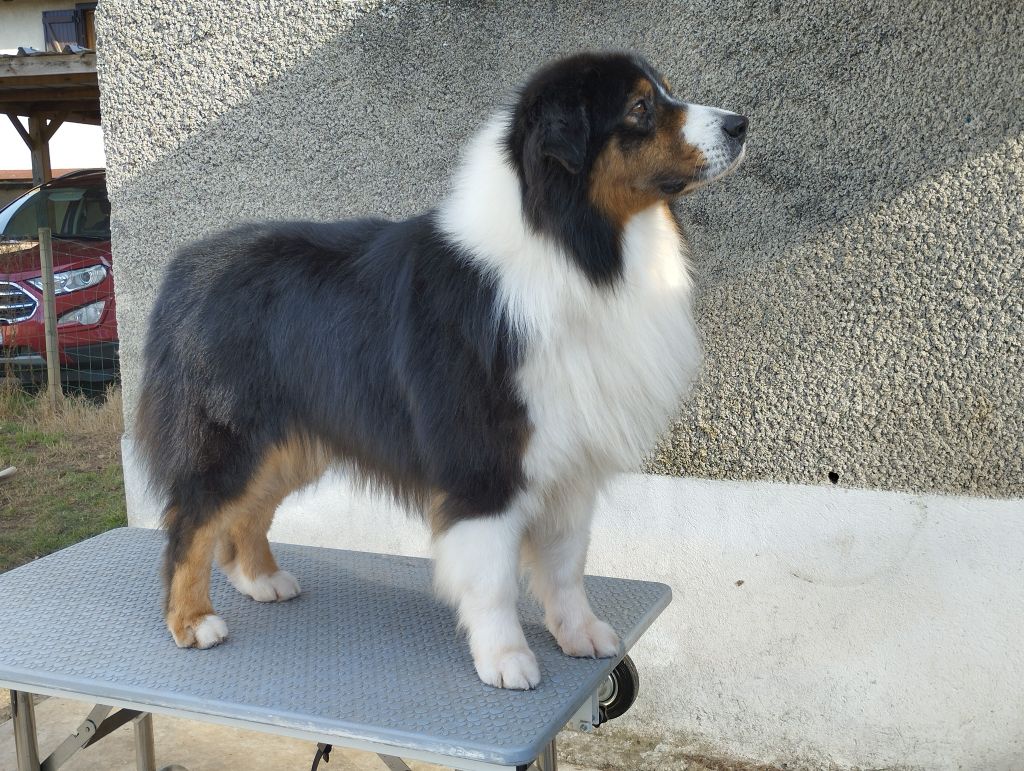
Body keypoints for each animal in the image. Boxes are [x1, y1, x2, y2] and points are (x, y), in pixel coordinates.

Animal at [138, 54, 745, 692]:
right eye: (639, 108)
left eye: (666, 93)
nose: (740, 124)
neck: (569, 248)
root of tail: (184, 266)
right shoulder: (482, 462)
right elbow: (493, 576)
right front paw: (506, 659)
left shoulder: (569, 463)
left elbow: (565, 565)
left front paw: (579, 635)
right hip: (232, 438)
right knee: (191, 520)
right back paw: (192, 621)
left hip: (292, 441)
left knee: (247, 512)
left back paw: (261, 580)